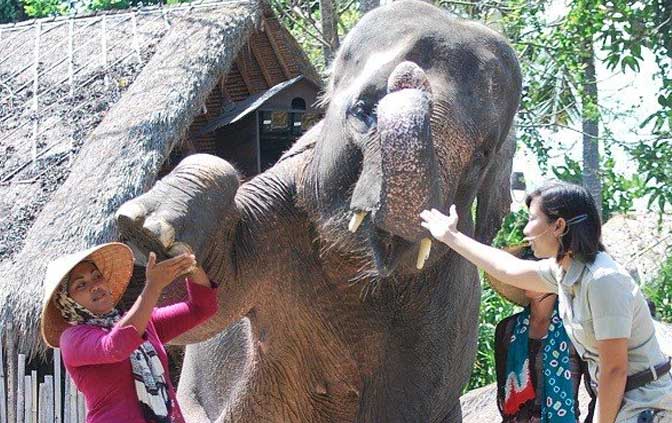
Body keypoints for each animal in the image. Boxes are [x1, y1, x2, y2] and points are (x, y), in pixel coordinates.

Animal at [117, 1, 520, 422]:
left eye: (482, 155)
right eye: (364, 110)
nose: (409, 74)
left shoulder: (451, 306)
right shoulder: (281, 205)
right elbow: (207, 302)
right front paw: (150, 233)